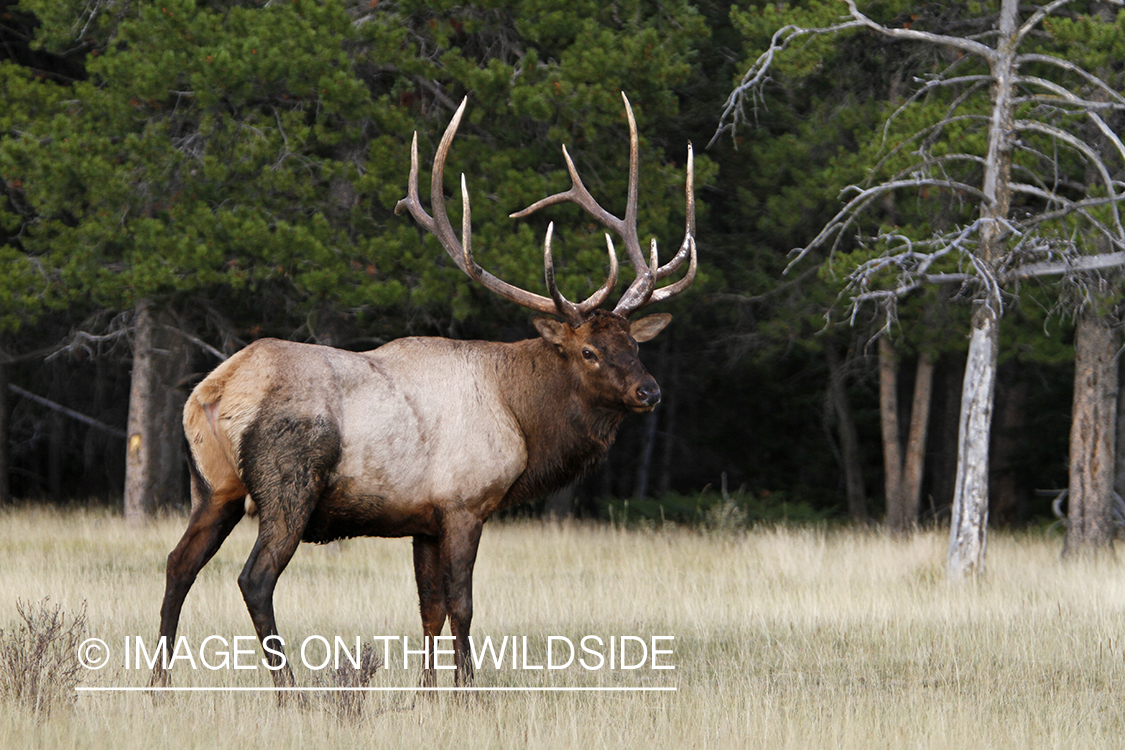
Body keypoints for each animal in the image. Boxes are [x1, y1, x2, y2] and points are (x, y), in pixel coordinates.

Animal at [151, 93, 695, 690]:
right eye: (589, 352)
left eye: (634, 344)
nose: (650, 391)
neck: (521, 419)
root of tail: (212, 391)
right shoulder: (464, 503)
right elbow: (462, 606)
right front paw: (467, 690)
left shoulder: (423, 520)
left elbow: (428, 608)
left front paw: (426, 690)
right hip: (287, 484)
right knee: (255, 578)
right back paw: (289, 690)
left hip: (214, 488)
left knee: (178, 564)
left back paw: (158, 683)